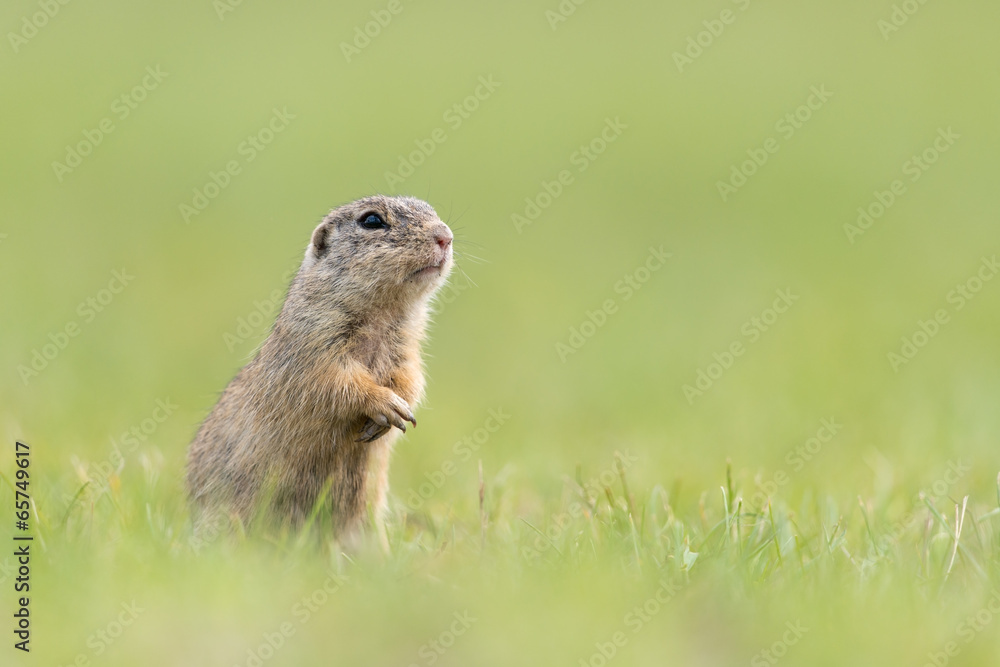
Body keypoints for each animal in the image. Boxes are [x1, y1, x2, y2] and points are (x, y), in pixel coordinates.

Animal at [186, 195, 453, 544]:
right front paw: (386, 404)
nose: (445, 236)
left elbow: (411, 379)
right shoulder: (313, 344)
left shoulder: (406, 350)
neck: (384, 312)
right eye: (371, 221)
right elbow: (333, 382)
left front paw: (402, 408)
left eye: (430, 209)